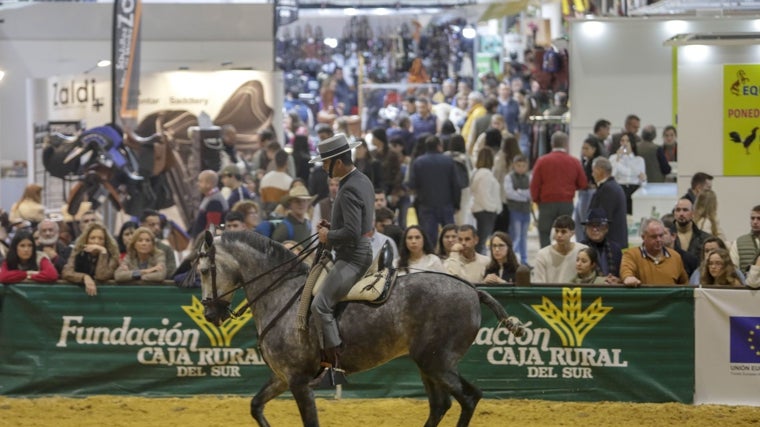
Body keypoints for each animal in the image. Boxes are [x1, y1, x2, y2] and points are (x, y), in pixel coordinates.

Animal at [197, 232, 524, 427]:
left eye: (201, 270)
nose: (210, 312)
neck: (282, 295)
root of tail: (471, 290)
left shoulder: (299, 382)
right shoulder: (282, 377)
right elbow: (255, 406)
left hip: (436, 363)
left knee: (465, 399)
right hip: (430, 365)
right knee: (444, 403)